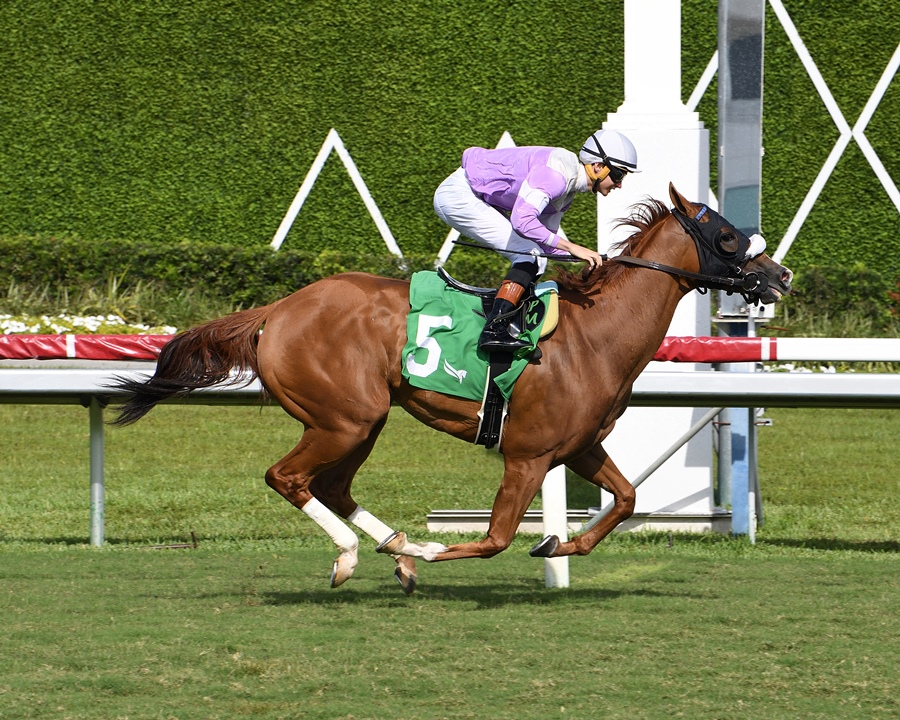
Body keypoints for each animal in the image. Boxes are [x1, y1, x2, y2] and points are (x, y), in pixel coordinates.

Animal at [109, 183, 793, 594]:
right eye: (727, 236)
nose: (780, 275)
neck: (594, 332)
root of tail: (276, 311)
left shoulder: (579, 447)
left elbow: (625, 500)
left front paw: (562, 542)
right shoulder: (527, 454)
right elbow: (495, 538)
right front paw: (439, 547)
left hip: (362, 420)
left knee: (330, 486)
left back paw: (396, 551)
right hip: (344, 418)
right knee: (288, 477)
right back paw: (362, 554)